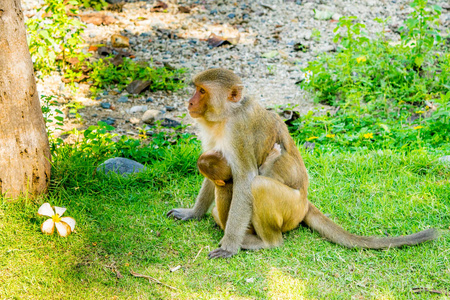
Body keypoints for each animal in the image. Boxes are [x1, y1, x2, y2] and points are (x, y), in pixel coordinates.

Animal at [167, 68, 438, 258]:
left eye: (202, 91)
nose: (190, 103)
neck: (226, 116)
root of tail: (305, 201)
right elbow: (213, 167)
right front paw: (193, 213)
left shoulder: (239, 131)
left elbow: (245, 179)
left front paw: (230, 245)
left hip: (291, 209)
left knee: (258, 186)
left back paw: (264, 242)